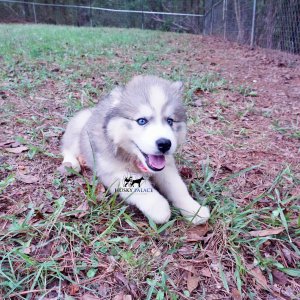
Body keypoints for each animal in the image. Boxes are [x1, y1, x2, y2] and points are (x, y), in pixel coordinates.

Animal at [61, 76, 209, 224]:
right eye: (142, 121)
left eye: (170, 121)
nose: (165, 144)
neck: (133, 157)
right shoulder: (110, 170)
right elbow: (139, 186)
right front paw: (159, 208)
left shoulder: (167, 167)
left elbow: (178, 187)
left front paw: (194, 209)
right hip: (79, 125)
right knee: (67, 147)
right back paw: (71, 164)